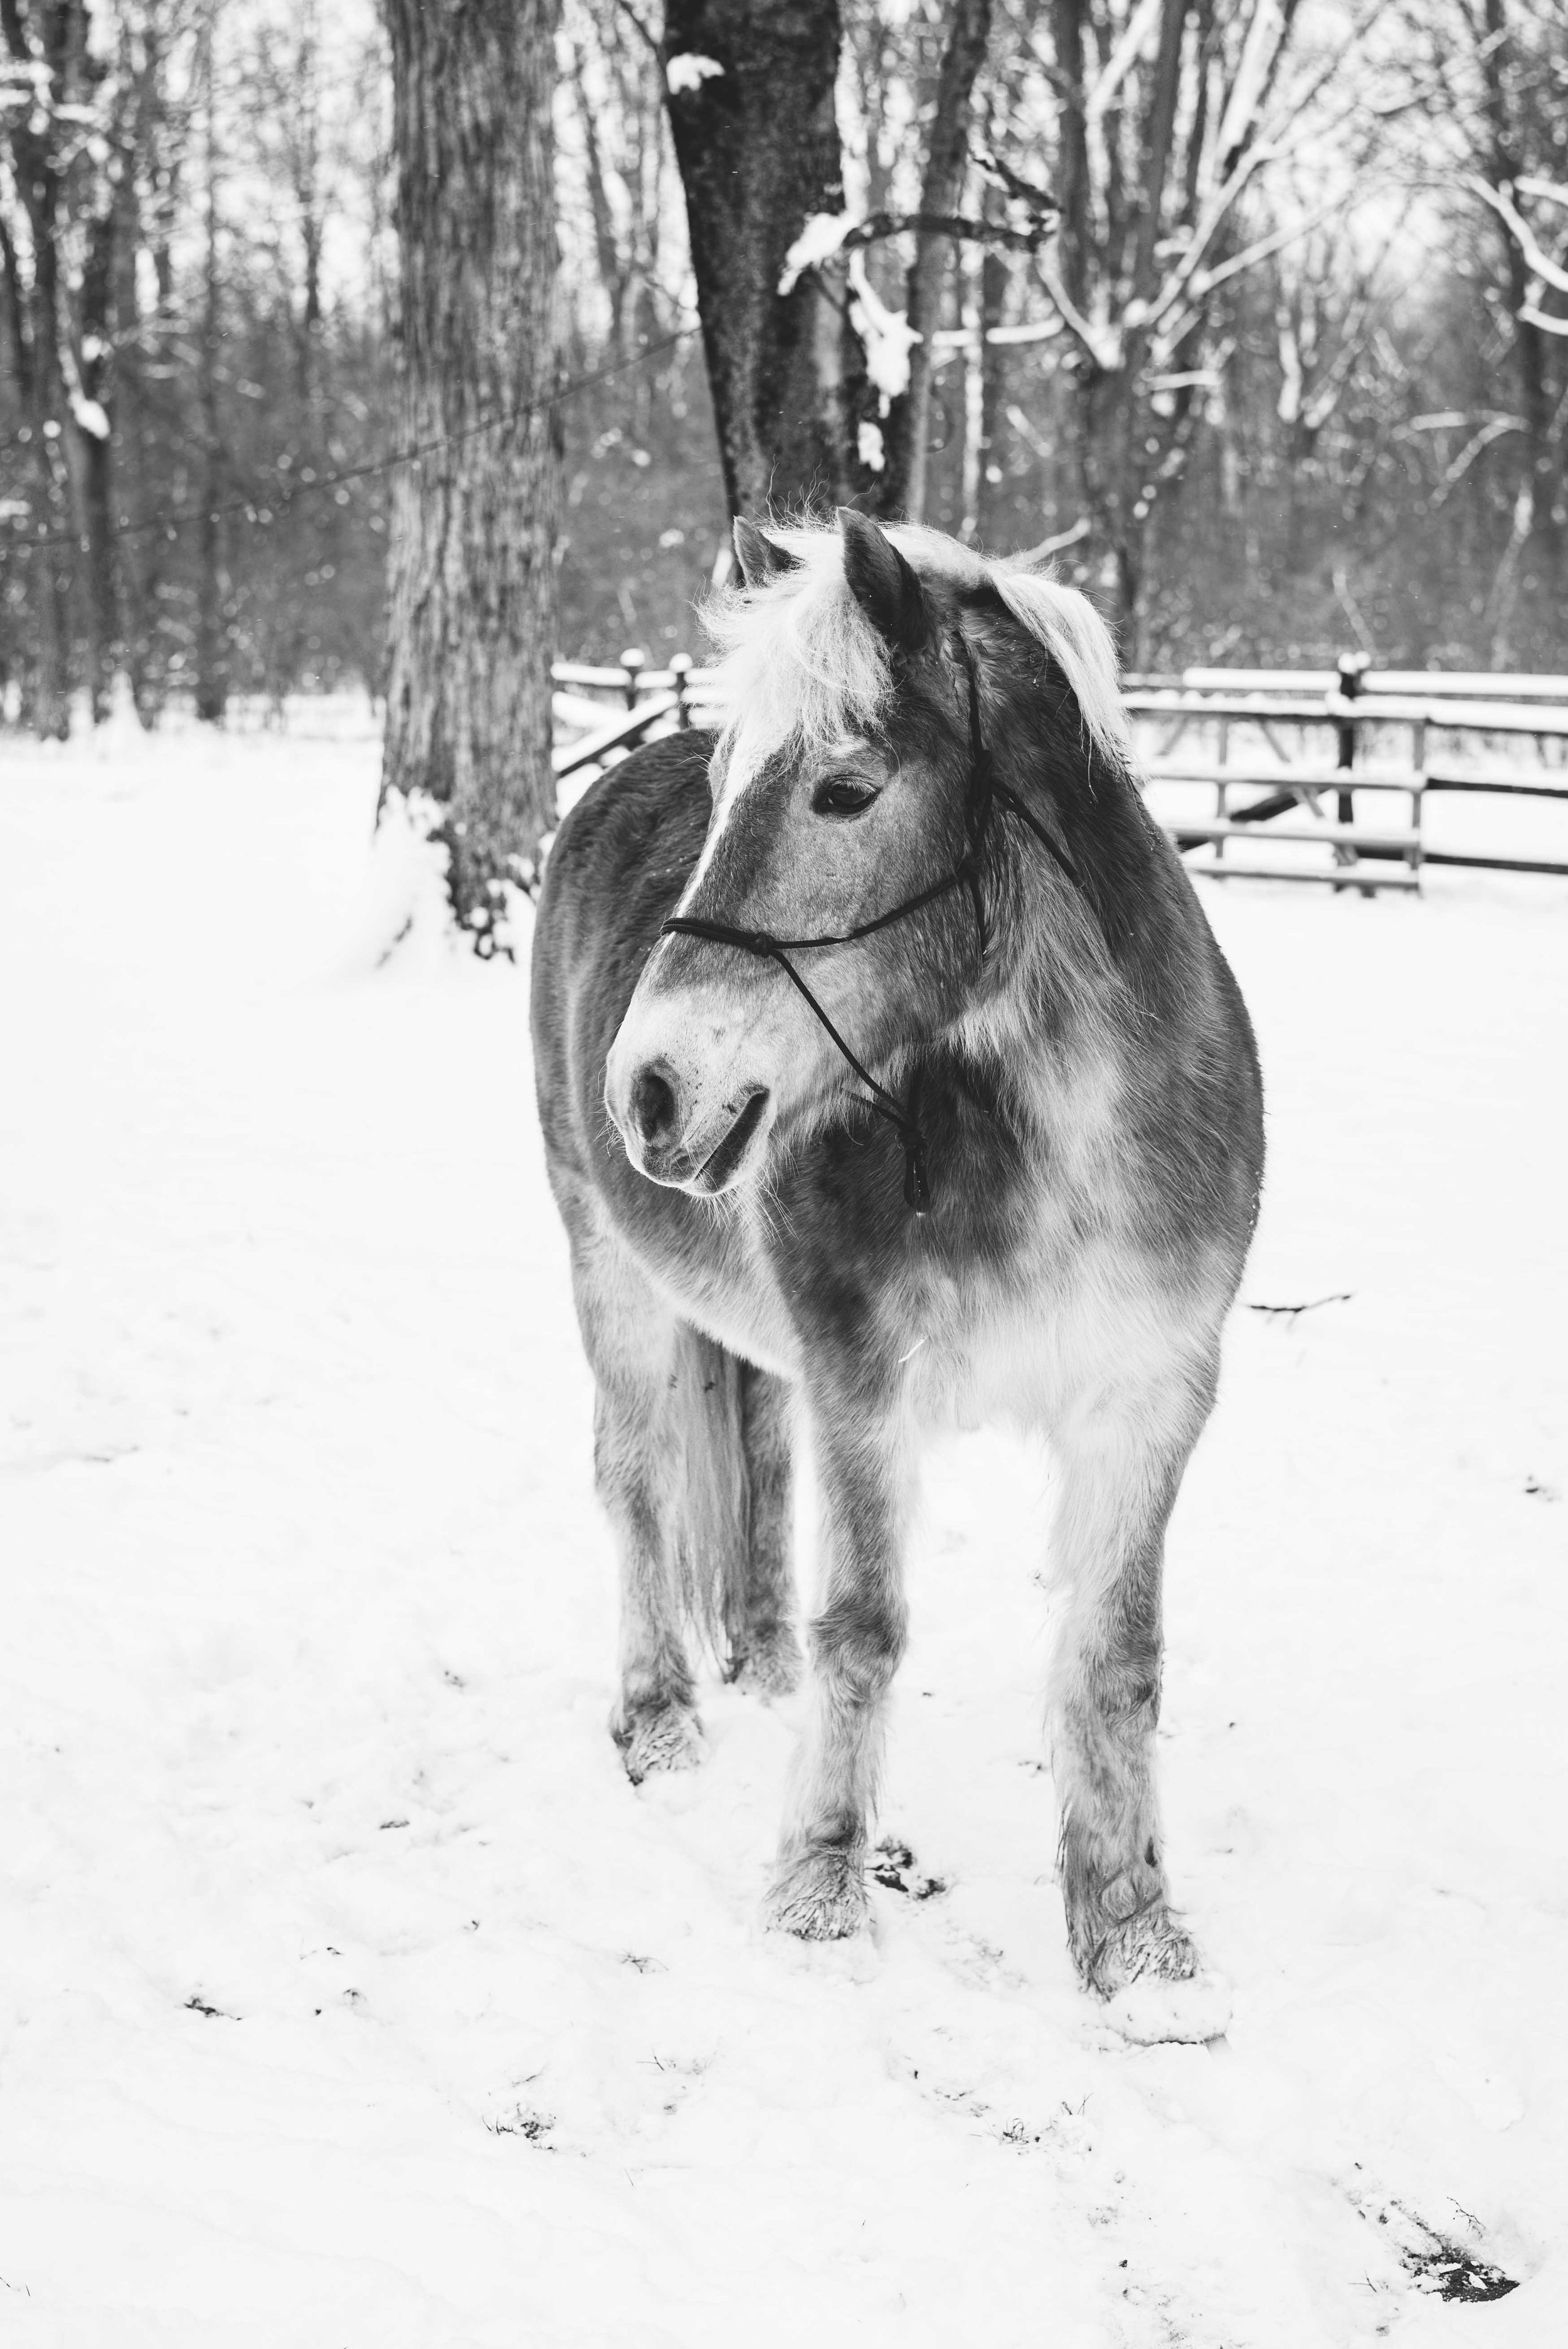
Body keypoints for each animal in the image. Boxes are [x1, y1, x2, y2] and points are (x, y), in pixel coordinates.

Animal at [532, 514, 1267, 2020]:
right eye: (732, 791)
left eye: (844, 791)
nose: (650, 1087)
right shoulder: (866, 1385)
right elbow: (864, 1627)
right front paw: (819, 1889)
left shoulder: (1153, 1397)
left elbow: (1117, 1658)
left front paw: (1134, 1937)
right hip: (608, 1268)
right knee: (637, 1481)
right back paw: (661, 1720)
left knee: (754, 1469)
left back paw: (755, 1669)